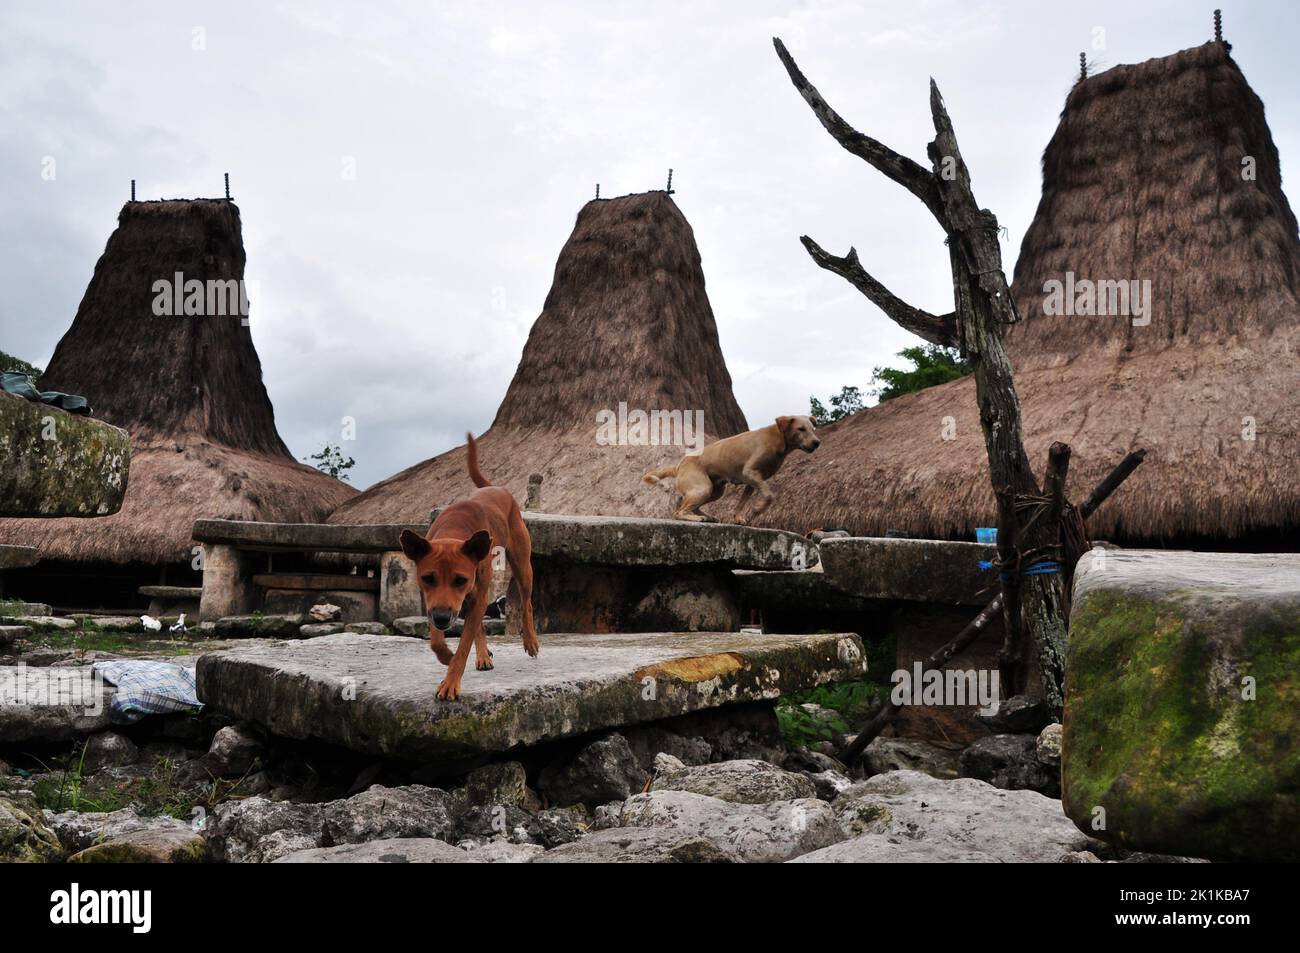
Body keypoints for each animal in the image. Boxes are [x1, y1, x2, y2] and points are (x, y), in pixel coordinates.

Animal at [395, 434, 538, 696]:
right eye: (427, 578)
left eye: (460, 580)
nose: (442, 618)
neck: (454, 531)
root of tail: (496, 488)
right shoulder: (432, 601)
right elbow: (436, 639)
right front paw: (446, 655)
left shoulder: (474, 596)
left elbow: (463, 646)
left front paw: (451, 682)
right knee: (478, 623)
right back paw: (483, 655)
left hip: (522, 565)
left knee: (526, 603)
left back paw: (530, 641)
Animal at [642, 413, 816, 520]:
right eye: (801, 429)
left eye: (813, 429)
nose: (817, 442)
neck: (778, 438)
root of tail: (680, 464)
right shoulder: (750, 473)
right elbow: (769, 496)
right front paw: (757, 509)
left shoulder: (752, 481)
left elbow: (742, 503)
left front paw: (738, 518)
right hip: (702, 488)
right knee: (678, 512)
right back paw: (697, 518)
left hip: (715, 491)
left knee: (692, 507)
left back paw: (707, 516)